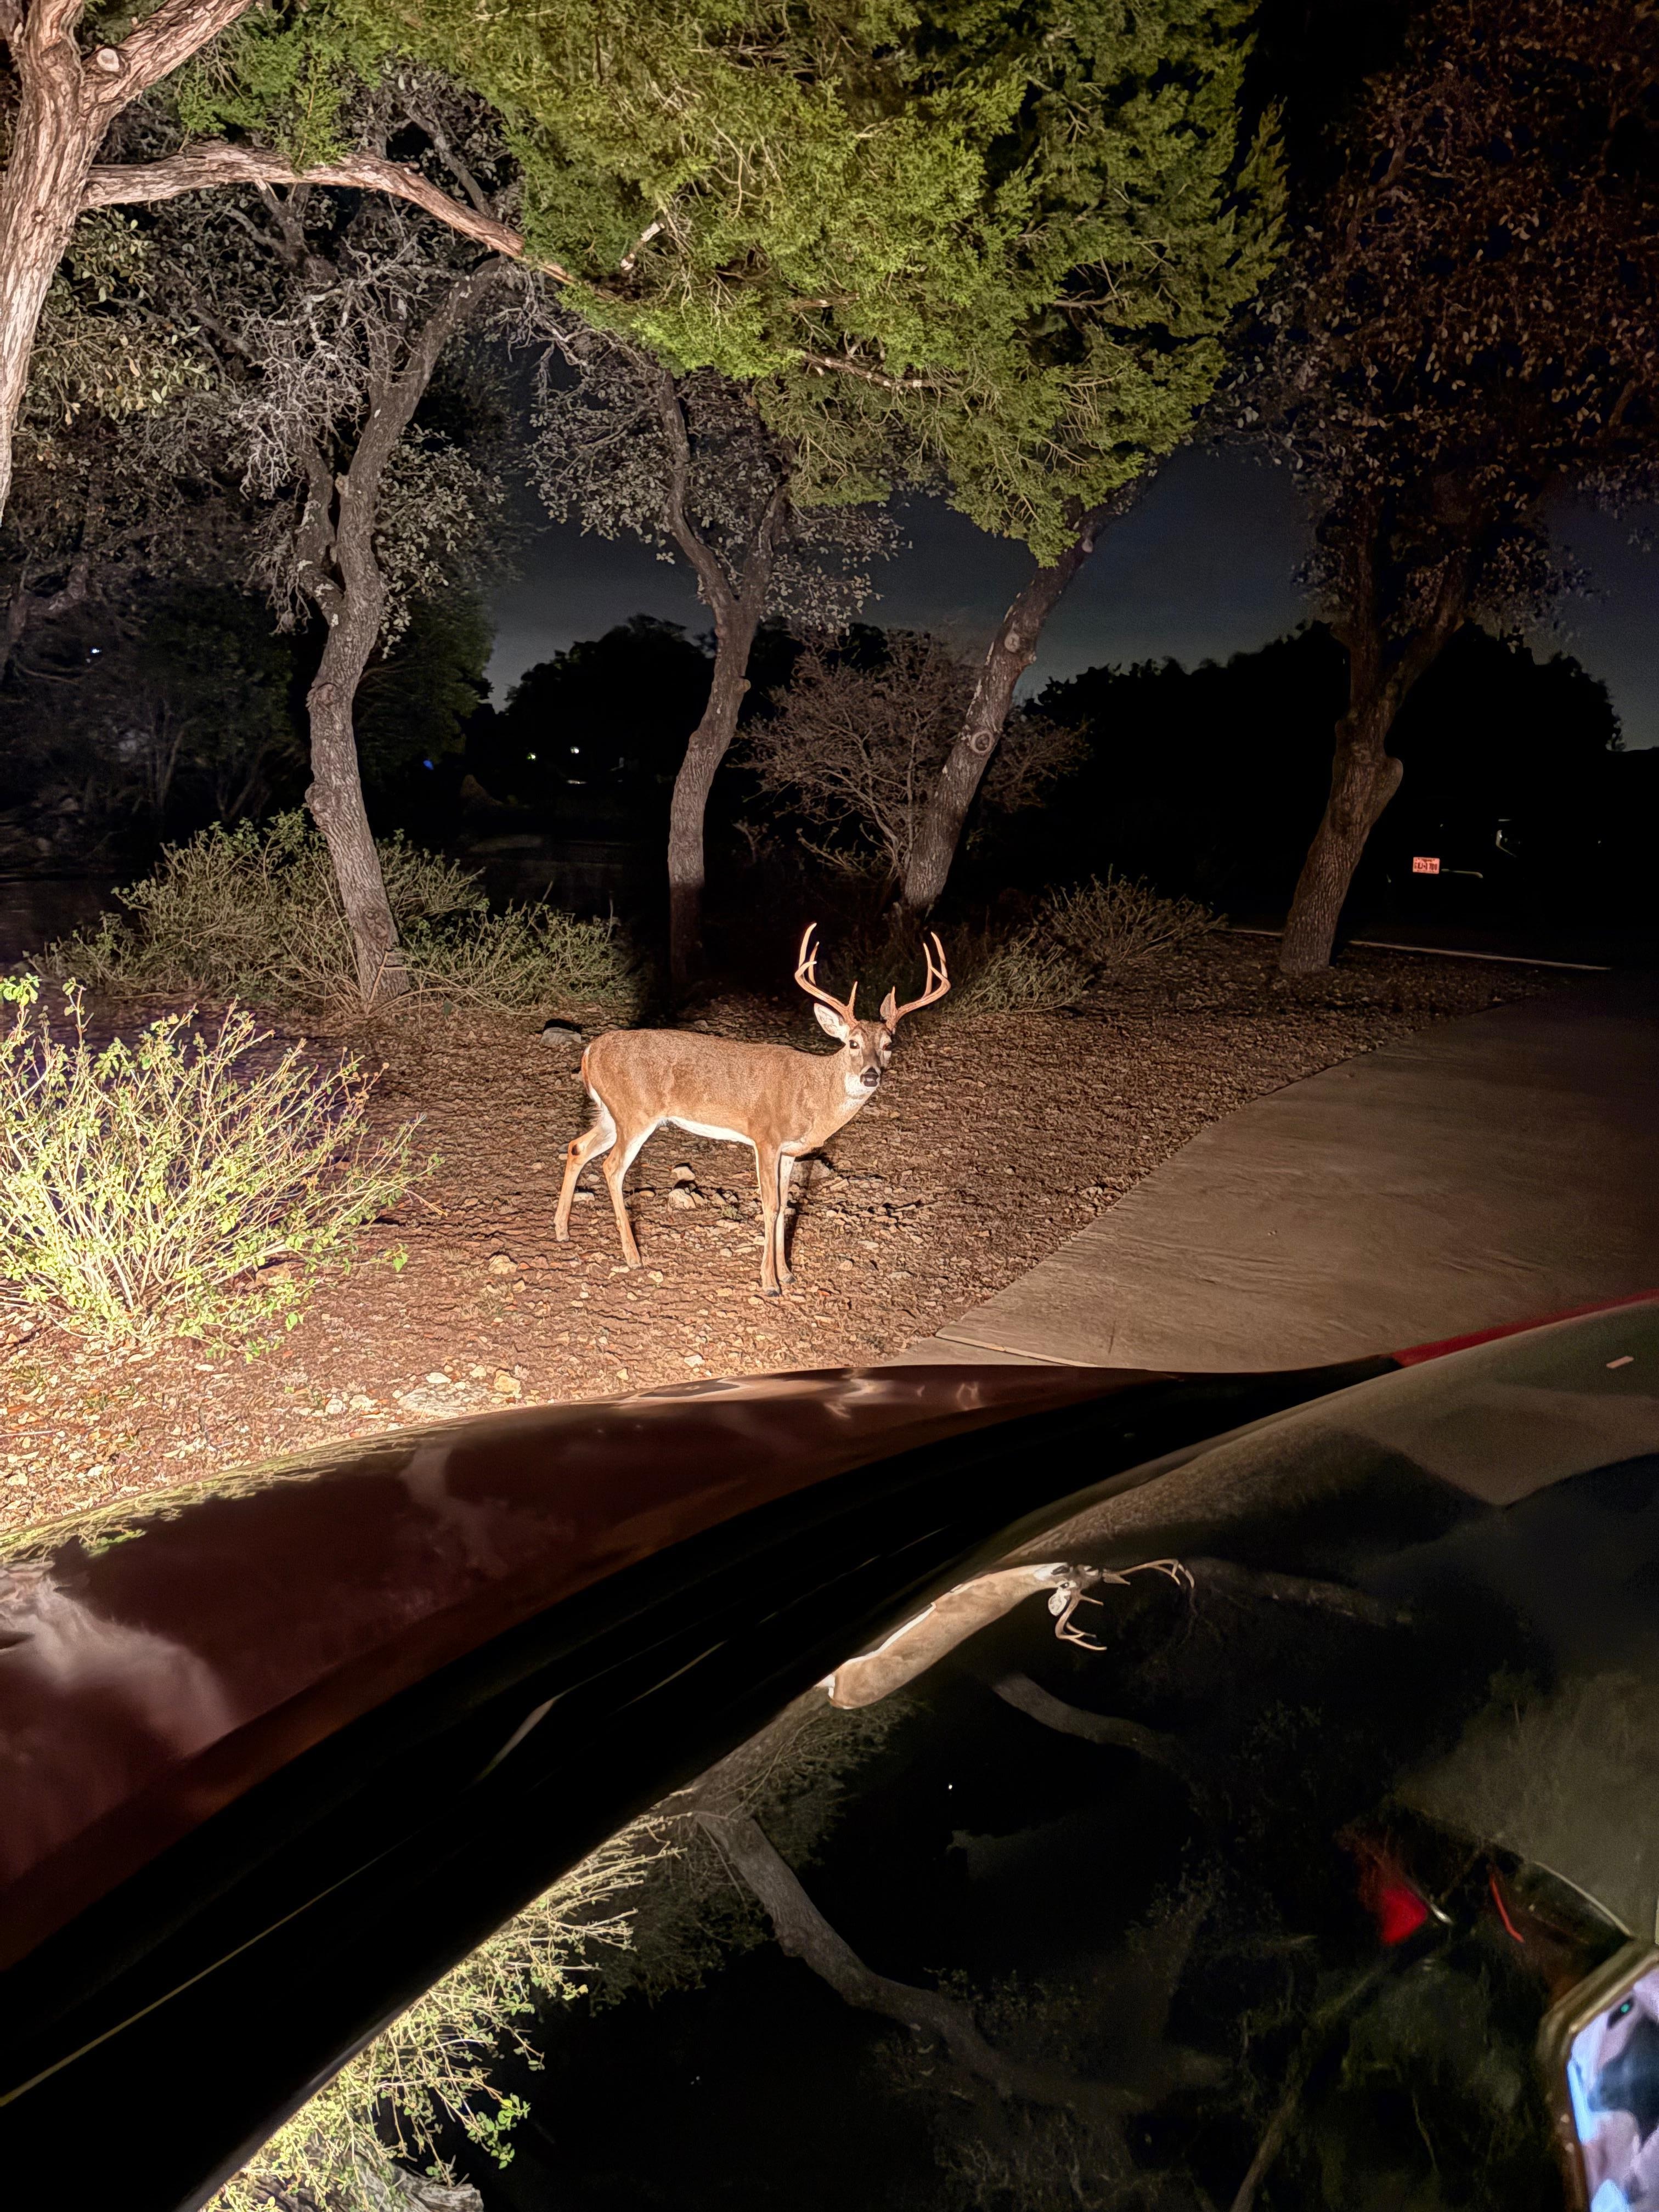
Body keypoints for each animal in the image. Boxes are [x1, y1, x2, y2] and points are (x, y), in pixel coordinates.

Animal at [554, 925, 950, 1296]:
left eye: (888, 1044)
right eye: (852, 1043)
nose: (870, 1076)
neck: (813, 1094)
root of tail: (589, 1052)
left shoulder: (791, 1151)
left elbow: (786, 1204)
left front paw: (787, 1273)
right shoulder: (766, 1137)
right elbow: (771, 1206)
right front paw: (770, 1282)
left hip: (612, 1115)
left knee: (577, 1147)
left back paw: (561, 1230)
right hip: (635, 1113)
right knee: (612, 1167)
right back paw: (633, 1256)